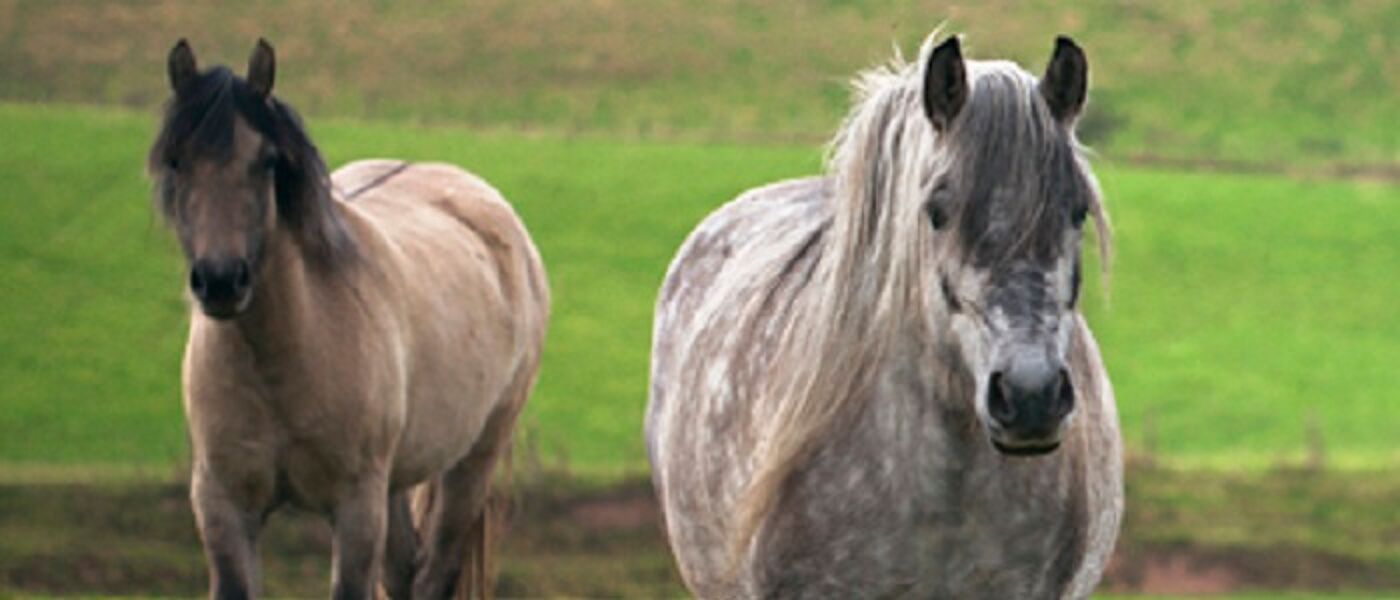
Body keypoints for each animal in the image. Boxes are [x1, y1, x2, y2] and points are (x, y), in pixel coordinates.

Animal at [148, 39, 548, 599]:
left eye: (266, 161)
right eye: (177, 161)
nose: (222, 280)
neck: (286, 351)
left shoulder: (356, 509)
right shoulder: (223, 505)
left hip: (472, 461)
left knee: (435, 571)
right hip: (396, 481)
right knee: (403, 573)